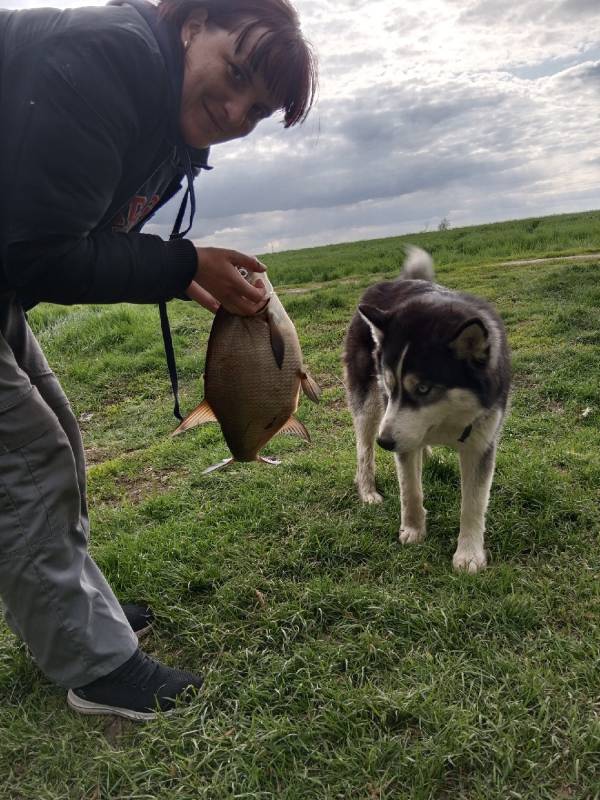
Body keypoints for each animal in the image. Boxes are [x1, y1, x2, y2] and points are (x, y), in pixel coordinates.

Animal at [342, 247, 510, 572]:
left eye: (423, 389)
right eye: (390, 384)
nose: (385, 442)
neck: (447, 419)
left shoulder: (481, 442)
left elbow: (473, 503)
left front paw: (469, 554)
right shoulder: (395, 423)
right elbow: (410, 489)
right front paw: (413, 530)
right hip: (369, 405)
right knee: (364, 450)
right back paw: (367, 489)